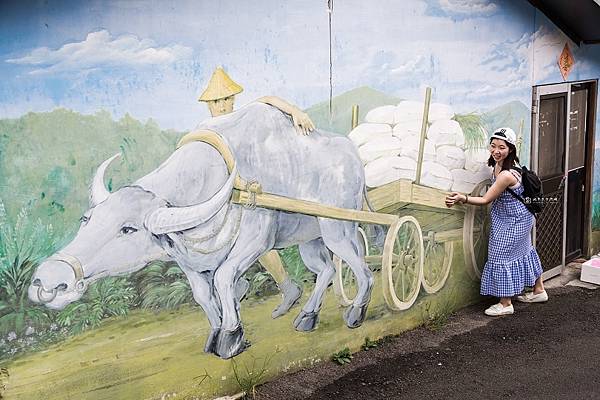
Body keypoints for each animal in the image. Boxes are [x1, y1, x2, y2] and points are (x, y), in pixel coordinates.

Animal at [30, 103, 376, 360]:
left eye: (127, 229)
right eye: (86, 219)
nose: (49, 279)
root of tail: (353, 154)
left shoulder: (254, 244)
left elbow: (223, 279)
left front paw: (231, 336)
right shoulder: (187, 260)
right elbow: (202, 294)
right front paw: (215, 331)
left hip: (337, 228)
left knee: (363, 269)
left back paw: (356, 313)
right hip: (310, 239)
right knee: (326, 269)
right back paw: (307, 317)